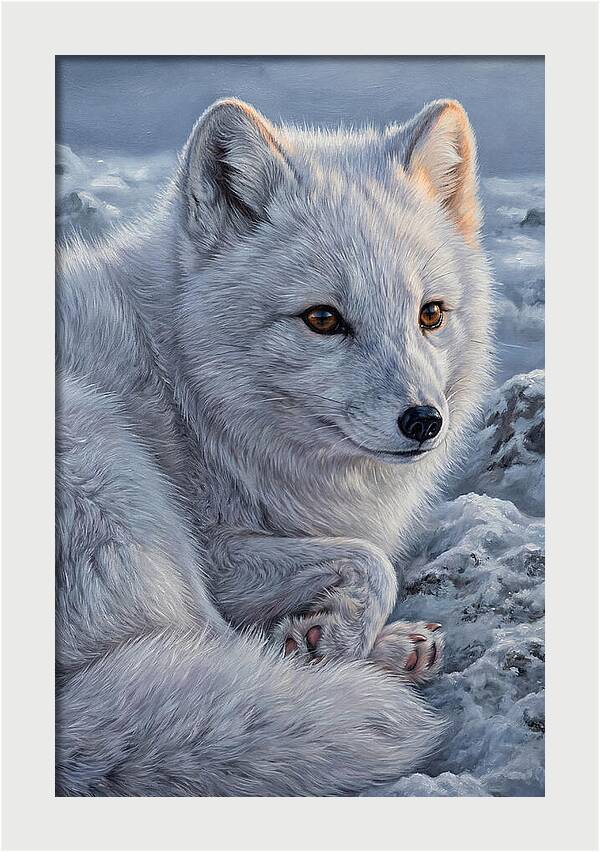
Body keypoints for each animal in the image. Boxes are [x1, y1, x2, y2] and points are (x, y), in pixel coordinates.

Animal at [55, 97, 493, 796]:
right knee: (212, 650)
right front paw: (333, 641)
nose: (425, 422)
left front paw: (332, 635)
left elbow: (364, 559)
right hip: (112, 469)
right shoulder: (215, 550)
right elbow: (373, 560)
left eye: (430, 314)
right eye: (322, 319)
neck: (184, 388)